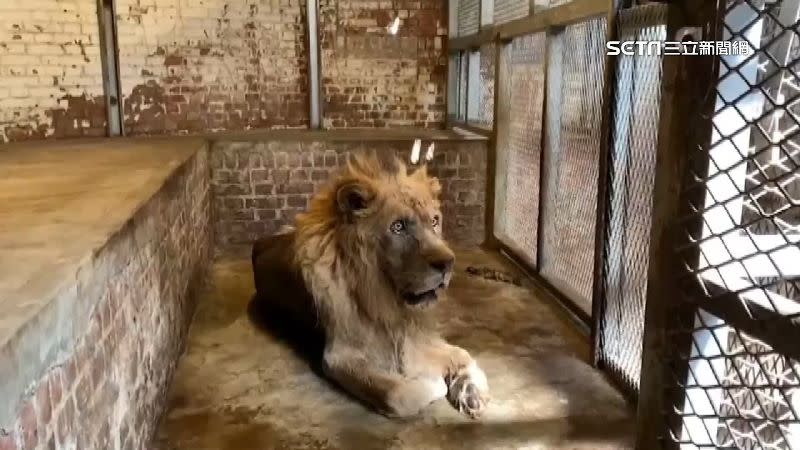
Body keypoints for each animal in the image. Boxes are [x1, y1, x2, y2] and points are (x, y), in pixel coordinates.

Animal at [252, 151, 488, 418]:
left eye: (435, 221)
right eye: (398, 227)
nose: (448, 262)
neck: (383, 296)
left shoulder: (413, 334)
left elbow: (462, 354)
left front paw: (471, 392)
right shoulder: (339, 356)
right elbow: (396, 394)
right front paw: (433, 382)